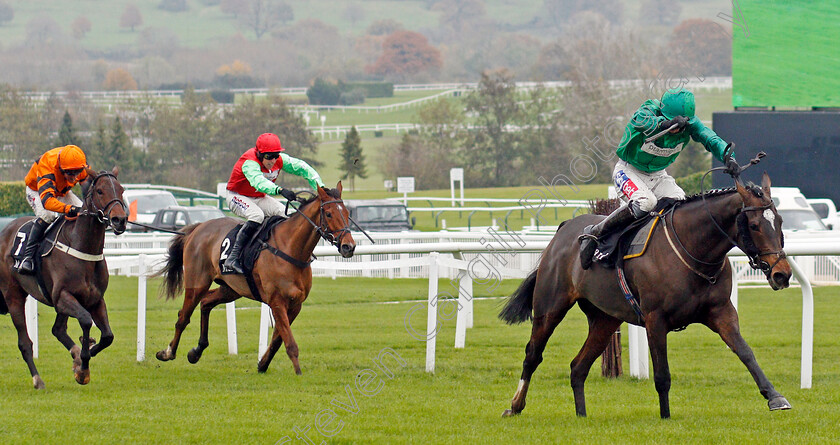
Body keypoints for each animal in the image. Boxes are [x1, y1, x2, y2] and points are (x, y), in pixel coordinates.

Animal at [0, 167, 128, 388]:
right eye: (100, 191)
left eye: (121, 189)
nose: (119, 220)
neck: (82, 248)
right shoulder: (62, 297)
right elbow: (85, 320)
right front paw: (83, 366)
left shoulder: (95, 299)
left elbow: (108, 336)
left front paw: (83, 357)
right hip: (13, 295)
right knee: (25, 343)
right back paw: (38, 379)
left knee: (58, 329)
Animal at [154, 182, 354, 372]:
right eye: (329, 214)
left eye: (347, 212)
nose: (348, 246)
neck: (290, 249)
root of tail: (197, 228)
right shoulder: (277, 301)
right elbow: (289, 342)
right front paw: (298, 372)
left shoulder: (296, 304)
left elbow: (278, 340)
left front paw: (262, 364)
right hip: (197, 283)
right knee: (183, 317)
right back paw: (167, 352)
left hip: (231, 289)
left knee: (206, 302)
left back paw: (196, 351)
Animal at [498, 168, 796, 418]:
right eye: (755, 225)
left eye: (780, 221)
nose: (782, 273)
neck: (693, 249)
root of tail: (563, 230)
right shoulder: (656, 319)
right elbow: (662, 374)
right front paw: (665, 417)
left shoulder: (721, 311)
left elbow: (745, 352)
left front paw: (775, 397)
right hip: (550, 306)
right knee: (533, 354)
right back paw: (515, 405)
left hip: (605, 319)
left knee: (578, 367)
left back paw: (581, 415)